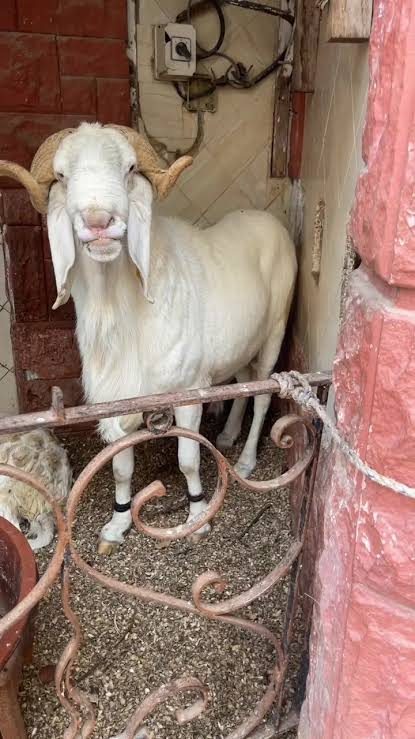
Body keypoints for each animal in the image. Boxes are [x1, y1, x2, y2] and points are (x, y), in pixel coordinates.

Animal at [0, 122, 297, 554]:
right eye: (61, 175)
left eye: (128, 168)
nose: (99, 220)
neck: (130, 316)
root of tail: (269, 221)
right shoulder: (117, 400)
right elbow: (121, 469)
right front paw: (116, 525)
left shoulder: (189, 391)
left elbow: (188, 460)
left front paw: (197, 519)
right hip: (241, 344)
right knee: (242, 384)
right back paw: (227, 436)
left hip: (275, 330)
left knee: (261, 395)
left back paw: (245, 460)